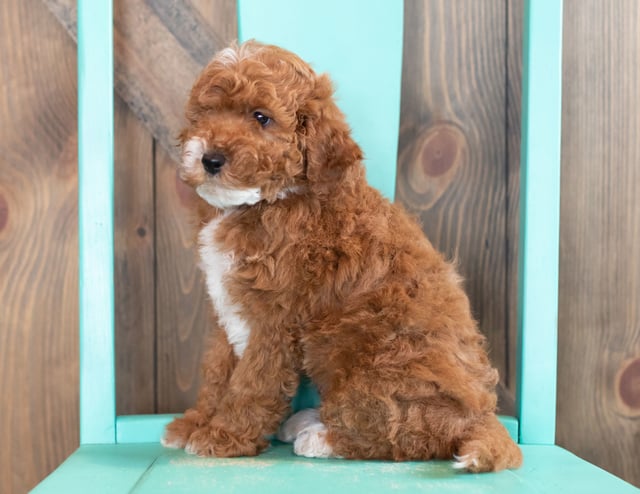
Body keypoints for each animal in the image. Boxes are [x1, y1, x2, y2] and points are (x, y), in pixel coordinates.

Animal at [162, 40, 524, 472]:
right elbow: (218, 371)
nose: (211, 158)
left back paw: (322, 437)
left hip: (366, 357)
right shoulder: (228, 308)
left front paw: (223, 436)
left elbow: (252, 382)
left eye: (261, 118)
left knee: (405, 433)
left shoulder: (273, 320)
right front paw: (194, 423)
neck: (268, 201)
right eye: (208, 112)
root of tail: (482, 418)